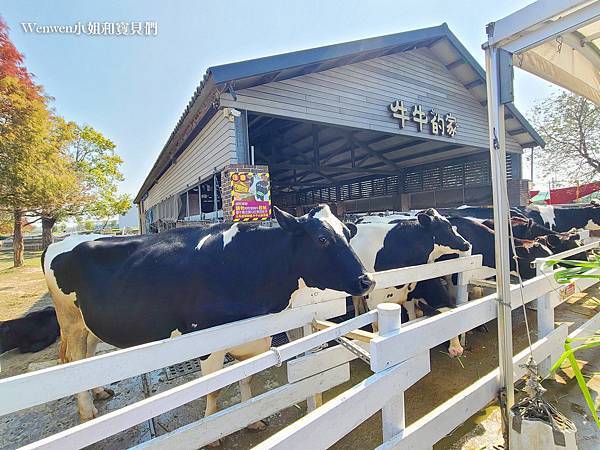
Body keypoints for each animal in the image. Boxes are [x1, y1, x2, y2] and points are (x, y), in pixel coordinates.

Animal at [45, 206, 376, 424]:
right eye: (322, 239)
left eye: (347, 235)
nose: (367, 280)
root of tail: (62, 241)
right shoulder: (205, 340)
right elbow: (215, 390)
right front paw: (212, 429)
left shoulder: (255, 337)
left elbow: (247, 378)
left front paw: (251, 419)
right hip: (69, 319)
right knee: (73, 359)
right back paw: (87, 411)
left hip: (88, 323)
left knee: (87, 358)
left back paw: (98, 392)